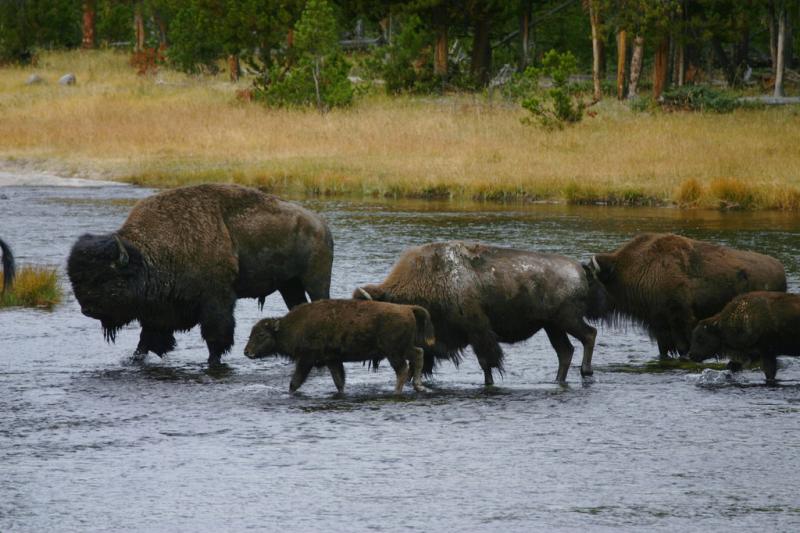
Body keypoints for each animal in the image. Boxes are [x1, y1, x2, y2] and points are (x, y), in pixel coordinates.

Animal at [65, 184, 334, 366]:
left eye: (106, 279)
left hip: (315, 281)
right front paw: (135, 359)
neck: (148, 255)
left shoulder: (216, 300)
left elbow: (216, 338)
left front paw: (213, 362)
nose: (88, 310)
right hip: (289, 285)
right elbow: (145, 341)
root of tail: (321, 223)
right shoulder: (158, 310)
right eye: (76, 279)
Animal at [244, 302, 434, 392]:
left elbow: (295, 382)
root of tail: (408, 308)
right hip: (404, 348)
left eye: (261, 335)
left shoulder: (306, 360)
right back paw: (418, 386)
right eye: (251, 333)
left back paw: (397, 391)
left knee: (402, 369)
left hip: (393, 352)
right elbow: (339, 381)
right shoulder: (333, 360)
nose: (247, 352)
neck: (290, 326)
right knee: (419, 354)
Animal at [350, 240, 608, 382]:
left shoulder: (478, 332)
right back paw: (559, 380)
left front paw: (490, 383)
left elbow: (487, 362)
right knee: (565, 351)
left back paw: (586, 371)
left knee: (588, 335)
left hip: (567, 320)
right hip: (552, 327)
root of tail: (580, 270)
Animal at [588, 233, 788, 358]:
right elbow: (664, 350)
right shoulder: (659, 325)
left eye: (591, 279)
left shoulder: (680, 319)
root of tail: (780, 269)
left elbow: (683, 347)